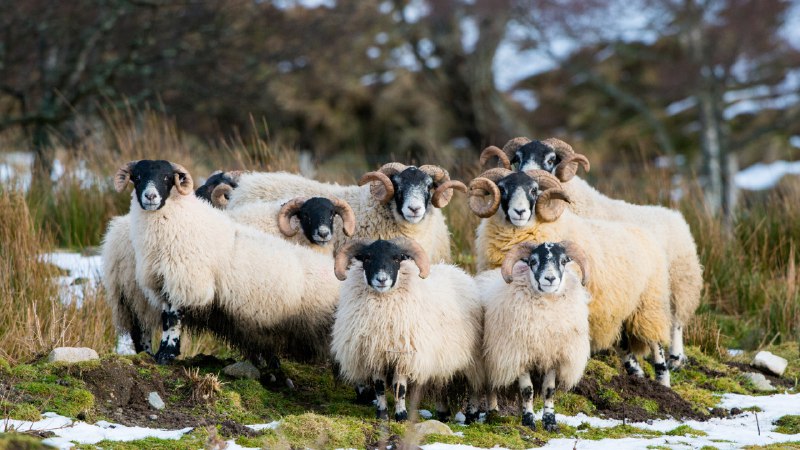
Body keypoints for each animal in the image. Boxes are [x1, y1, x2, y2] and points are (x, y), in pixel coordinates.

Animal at [112, 159, 341, 372]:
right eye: (137, 177)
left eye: (167, 177)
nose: (150, 197)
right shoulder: (168, 281)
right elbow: (169, 319)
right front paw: (164, 354)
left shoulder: (184, 280)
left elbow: (173, 319)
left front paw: (166, 354)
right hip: (132, 298)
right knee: (141, 330)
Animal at [331, 237, 484, 423]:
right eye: (367, 258)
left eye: (397, 258)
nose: (381, 279)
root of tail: (458, 271)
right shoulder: (375, 354)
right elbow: (379, 387)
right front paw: (382, 415)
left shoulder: (404, 356)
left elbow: (400, 388)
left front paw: (401, 416)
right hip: (441, 358)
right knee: (440, 383)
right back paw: (443, 413)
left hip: (473, 359)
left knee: (475, 387)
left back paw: (472, 416)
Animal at [468, 168, 672, 387]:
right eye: (503, 189)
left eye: (534, 190)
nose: (520, 212)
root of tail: (646, 234)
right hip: (624, 310)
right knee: (625, 344)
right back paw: (637, 375)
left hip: (649, 304)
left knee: (657, 344)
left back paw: (663, 383)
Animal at [478, 241, 591, 431]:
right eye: (533, 261)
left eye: (563, 261)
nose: (550, 279)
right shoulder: (520, 355)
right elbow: (527, 390)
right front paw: (529, 420)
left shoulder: (553, 356)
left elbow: (549, 390)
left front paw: (550, 421)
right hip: (490, 361)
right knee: (490, 387)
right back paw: (493, 413)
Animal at [481, 138, 702, 369]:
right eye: (517, 158)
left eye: (551, 160)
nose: (527, 174)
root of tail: (674, 215)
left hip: (678, 284)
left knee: (676, 322)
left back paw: (675, 357)